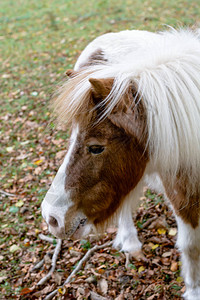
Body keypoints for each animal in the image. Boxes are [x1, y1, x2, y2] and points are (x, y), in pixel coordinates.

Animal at [41, 28, 200, 300]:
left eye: (96, 147)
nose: (51, 218)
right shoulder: (182, 196)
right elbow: (191, 247)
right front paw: (194, 291)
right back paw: (131, 243)